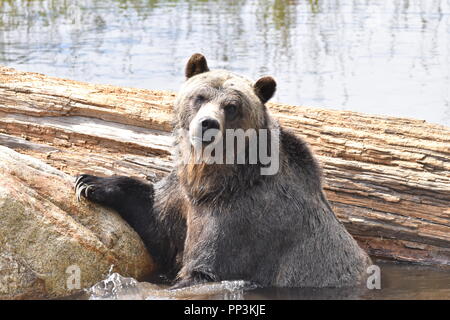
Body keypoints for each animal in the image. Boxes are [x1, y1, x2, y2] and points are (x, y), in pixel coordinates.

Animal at [75, 52, 370, 288]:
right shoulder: (184, 199)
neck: (214, 180)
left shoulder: (244, 221)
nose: (208, 124)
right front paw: (89, 182)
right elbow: (156, 219)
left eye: (231, 106)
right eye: (200, 96)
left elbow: (204, 271)